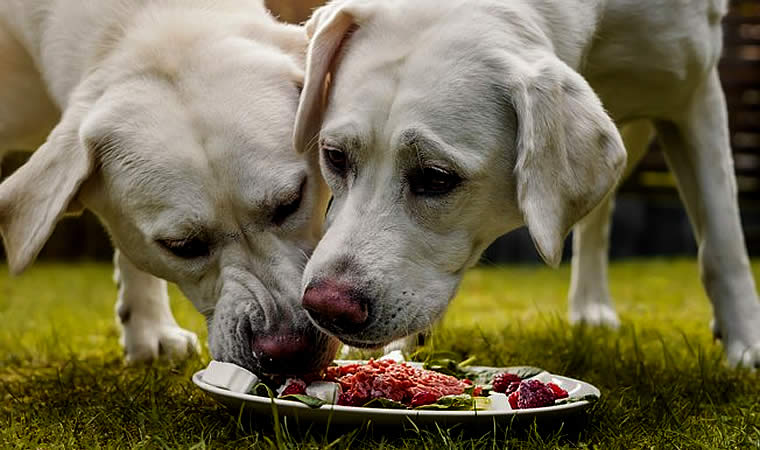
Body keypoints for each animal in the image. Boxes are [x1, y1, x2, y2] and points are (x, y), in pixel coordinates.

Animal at [294, 0, 760, 368]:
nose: (326, 307)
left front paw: (747, 345)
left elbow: (722, 239)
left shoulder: (695, 94)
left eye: (436, 177)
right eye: (335, 156)